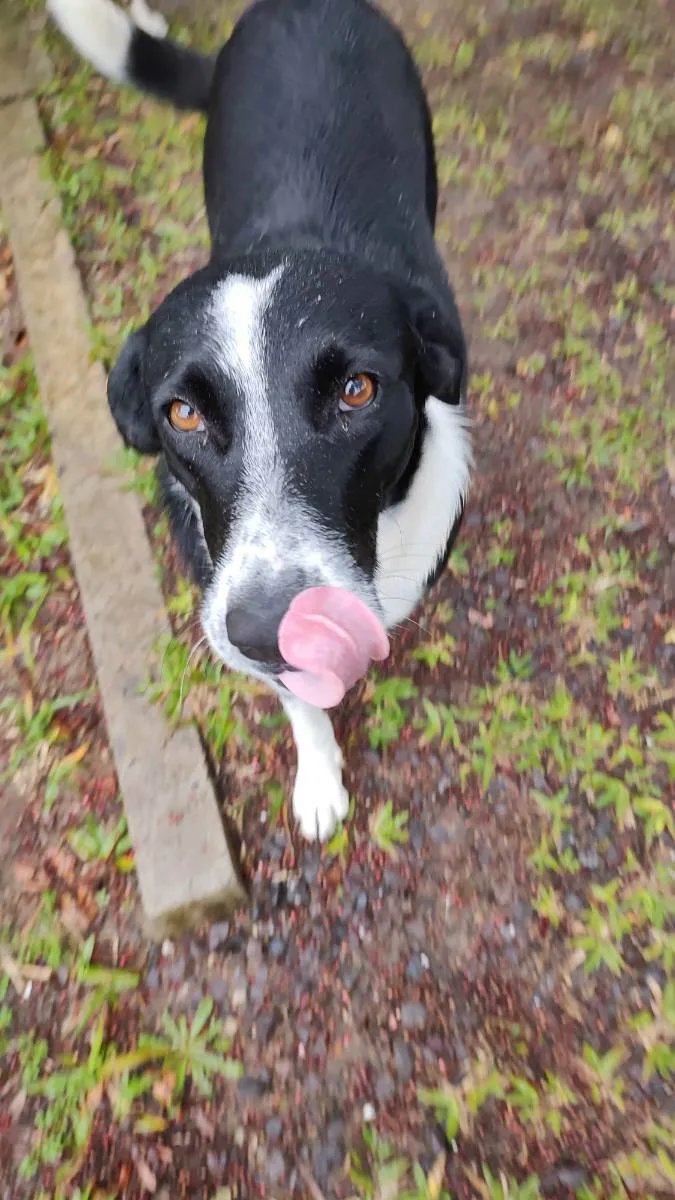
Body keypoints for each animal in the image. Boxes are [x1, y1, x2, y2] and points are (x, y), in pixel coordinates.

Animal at [47, 0, 470, 840]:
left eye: (356, 391)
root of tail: (298, 3)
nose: (272, 628)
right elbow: (300, 704)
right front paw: (318, 778)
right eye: (181, 413)